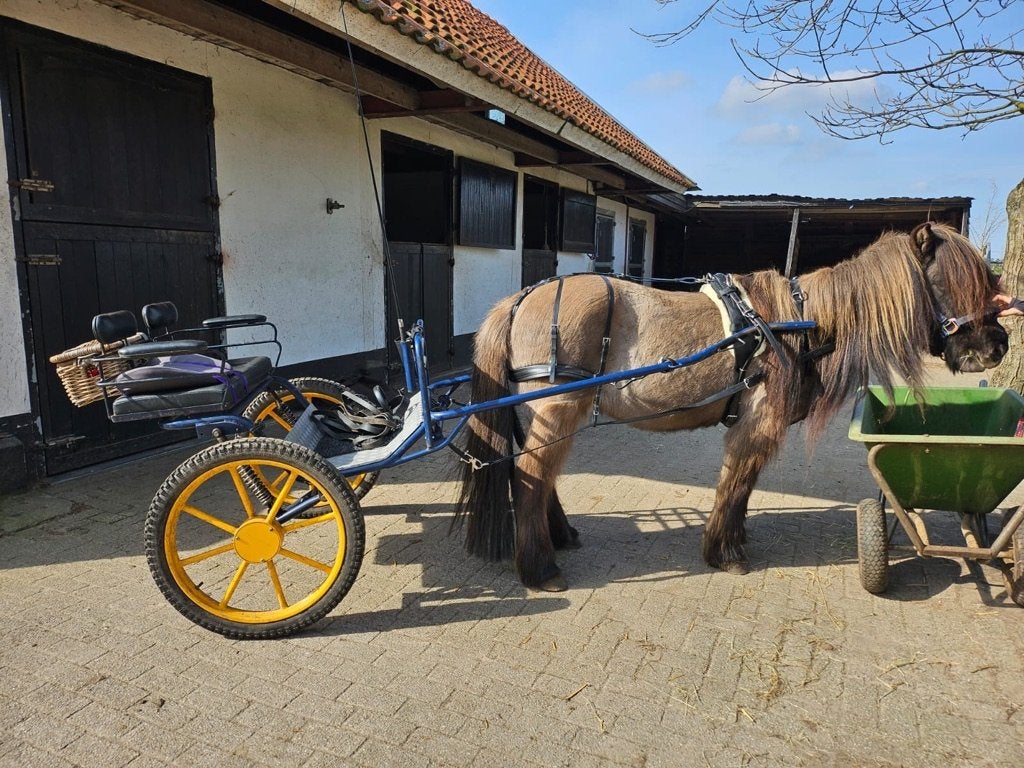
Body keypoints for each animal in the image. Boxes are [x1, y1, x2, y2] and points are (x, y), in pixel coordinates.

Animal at [453, 222, 1009, 591]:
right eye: (957, 282)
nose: (998, 346)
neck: (799, 323)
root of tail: (521, 298)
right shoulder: (758, 425)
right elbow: (736, 481)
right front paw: (723, 552)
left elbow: (743, 487)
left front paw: (735, 540)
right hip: (558, 409)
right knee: (530, 477)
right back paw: (540, 568)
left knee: (535, 477)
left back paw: (560, 537)